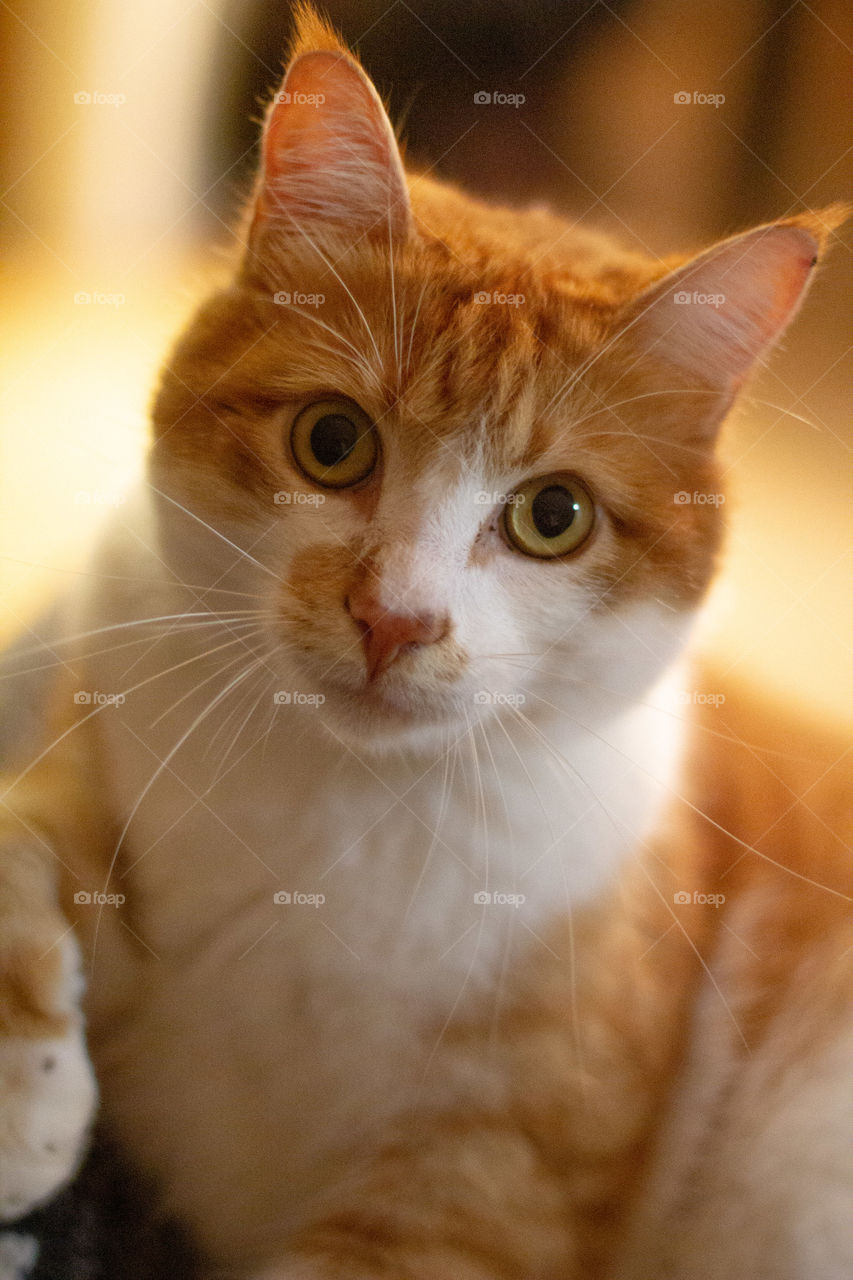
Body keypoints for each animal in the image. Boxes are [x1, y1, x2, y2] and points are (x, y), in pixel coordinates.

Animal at [0, 10, 845, 1280]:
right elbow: (22, 829)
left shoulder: (491, 1187)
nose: (394, 616)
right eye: (332, 441)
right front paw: (26, 1088)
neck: (342, 807)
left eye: (554, 515)